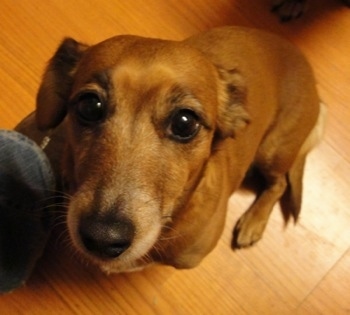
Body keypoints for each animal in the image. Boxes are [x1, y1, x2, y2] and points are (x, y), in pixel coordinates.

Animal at [15, 26, 322, 274]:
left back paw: (253, 222)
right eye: (89, 106)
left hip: (272, 150)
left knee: (279, 183)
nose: (103, 237)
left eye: (185, 122)